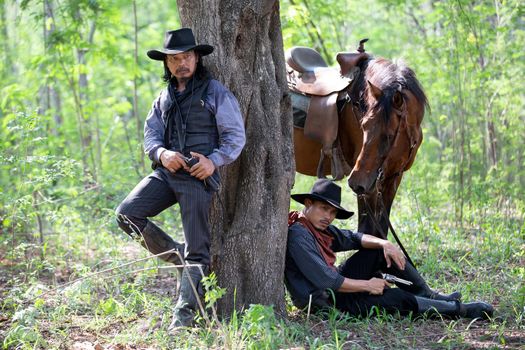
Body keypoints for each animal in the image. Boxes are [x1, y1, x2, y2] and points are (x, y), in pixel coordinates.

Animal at [288, 45, 428, 239]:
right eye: (363, 126)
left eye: (389, 135)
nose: (356, 182)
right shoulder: (369, 187)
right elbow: (367, 230)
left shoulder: (392, 177)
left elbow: (380, 230)